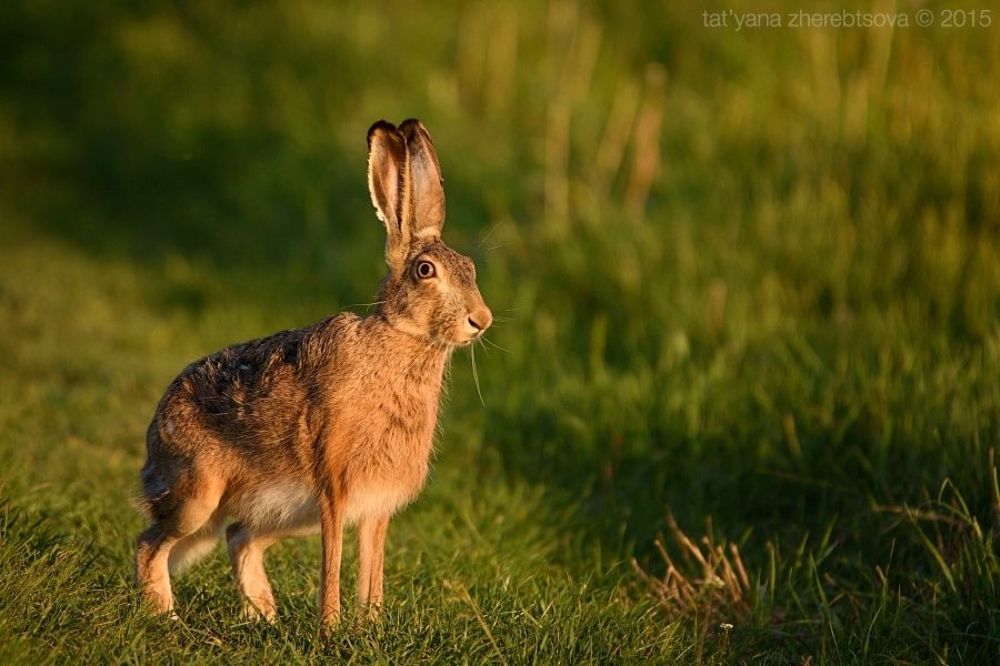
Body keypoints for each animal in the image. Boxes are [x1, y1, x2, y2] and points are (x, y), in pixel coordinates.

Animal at [135, 118, 492, 626]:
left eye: (471, 268)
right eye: (426, 271)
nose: (481, 319)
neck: (400, 340)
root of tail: (153, 438)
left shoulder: (375, 508)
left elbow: (371, 570)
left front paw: (371, 626)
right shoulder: (334, 491)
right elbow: (333, 565)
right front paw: (331, 628)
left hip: (280, 514)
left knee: (238, 537)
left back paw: (265, 617)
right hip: (198, 496)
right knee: (151, 543)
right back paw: (165, 617)